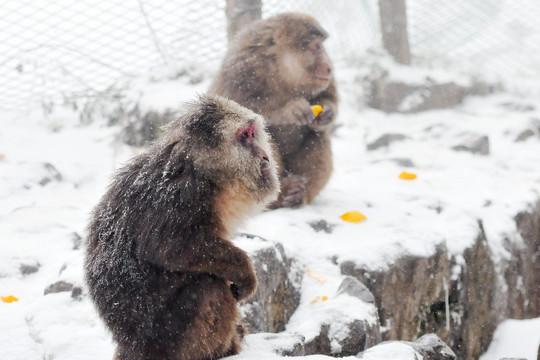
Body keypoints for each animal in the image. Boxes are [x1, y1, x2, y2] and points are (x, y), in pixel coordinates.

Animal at [85, 95, 278, 360]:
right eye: (244, 136)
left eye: (252, 133)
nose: (264, 156)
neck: (204, 173)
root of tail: (133, 348)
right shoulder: (180, 196)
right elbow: (172, 249)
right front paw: (245, 272)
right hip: (172, 340)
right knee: (208, 287)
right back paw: (224, 349)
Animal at [208, 11, 338, 208]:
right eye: (316, 46)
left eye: (322, 47)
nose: (329, 67)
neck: (280, 69)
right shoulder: (241, 67)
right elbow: (234, 109)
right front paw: (290, 109)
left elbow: (329, 95)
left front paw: (328, 111)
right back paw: (283, 193)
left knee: (318, 136)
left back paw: (299, 195)